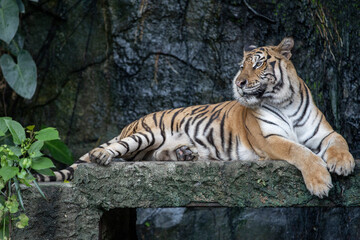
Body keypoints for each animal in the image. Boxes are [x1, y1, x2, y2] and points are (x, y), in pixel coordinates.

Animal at [38, 37, 354, 199]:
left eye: (257, 64)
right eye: (241, 66)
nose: (238, 83)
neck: (284, 100)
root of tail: (131, 123)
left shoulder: (324, 132)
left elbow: (340, 140)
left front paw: (343, 163)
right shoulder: (270, 139)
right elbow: (299, 151)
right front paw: (320, 183)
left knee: (152, 156)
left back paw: (185, 153)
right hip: (146, 133)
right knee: (110, 150)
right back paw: (103, 156)